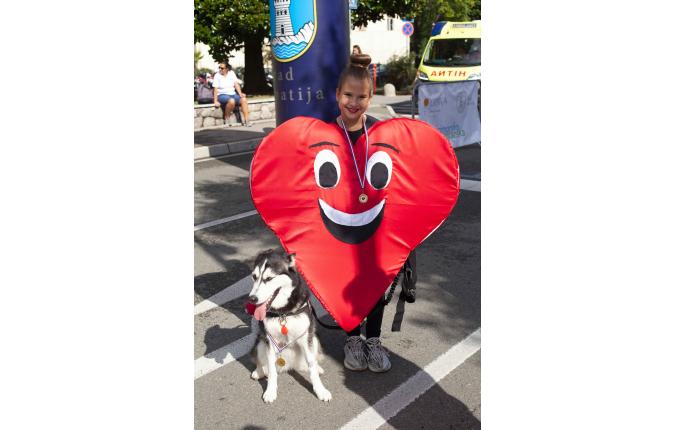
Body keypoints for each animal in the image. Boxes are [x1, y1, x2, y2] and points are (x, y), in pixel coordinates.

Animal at [248, 249, 332, 404]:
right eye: (254, 277)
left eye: (269, 278)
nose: (252, 299)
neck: (283, 312)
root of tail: (290, 366)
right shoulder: (270, 340)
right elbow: (272, 370)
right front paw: (270, 391)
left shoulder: (305, 337)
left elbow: (311, 365)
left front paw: (320, 390)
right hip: (260, 342)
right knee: (261, 361)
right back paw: (259, 371)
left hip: (314, 338)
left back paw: (317, 368)